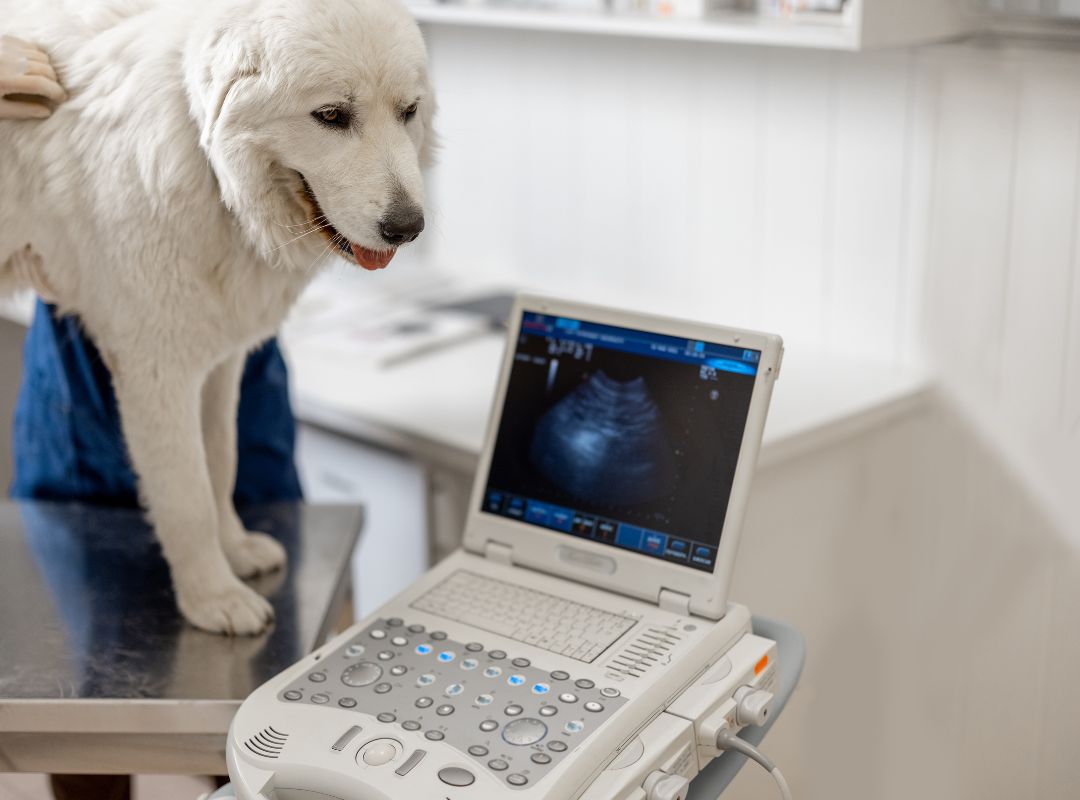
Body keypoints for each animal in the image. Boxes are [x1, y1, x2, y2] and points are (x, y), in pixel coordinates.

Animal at [3, 1, 438, 634]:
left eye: (408, 112)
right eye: (332, 116)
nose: (408, 228)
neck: (210, 167)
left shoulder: (217, 362)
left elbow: (221, 461)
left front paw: (234, 550)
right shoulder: (157, 372)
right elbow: (186, 494)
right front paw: (212, 597)